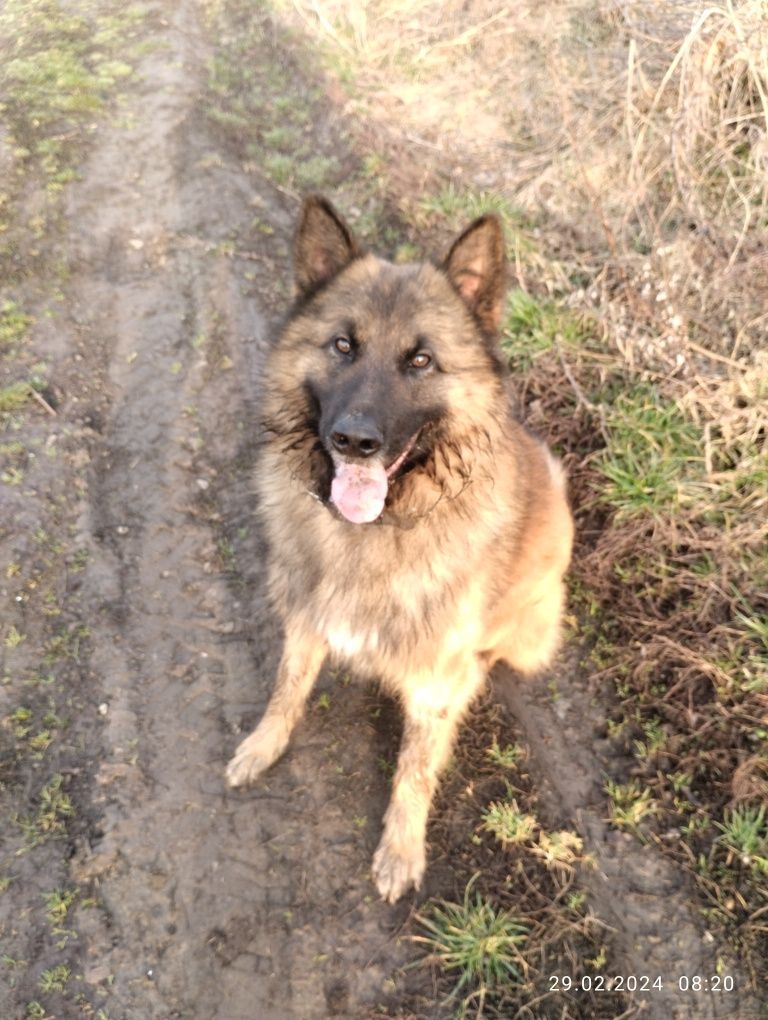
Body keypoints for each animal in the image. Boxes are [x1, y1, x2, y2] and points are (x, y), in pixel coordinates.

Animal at [224, 196, 571, 901]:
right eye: (342, 345)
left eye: (421, 361)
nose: (354, 442)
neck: (375, 531)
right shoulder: (306, 619)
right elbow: (286, 689)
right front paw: (264, 745)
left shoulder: (435, 681)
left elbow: (414, 767)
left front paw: (401, 849)